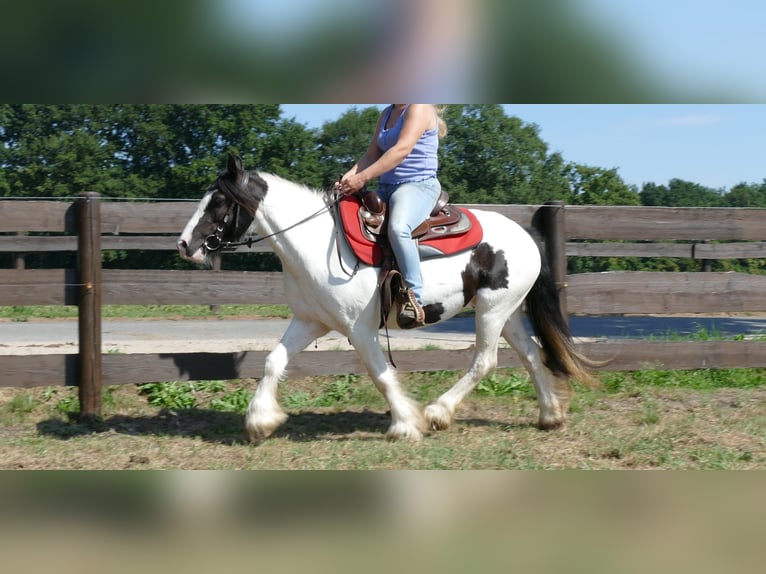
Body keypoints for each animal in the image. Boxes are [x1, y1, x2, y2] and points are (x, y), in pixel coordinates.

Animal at [177, 154, 604, 446]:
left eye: (218, 202)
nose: (184, 245)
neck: (316, 244)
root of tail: (525, 235)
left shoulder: (359, 329)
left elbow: (380, 375)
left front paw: (406, 424)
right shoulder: (310, 321)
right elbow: (272, 361)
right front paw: (259, 420)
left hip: (493, 310)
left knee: (485, 361)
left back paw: (438, 413)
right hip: (507, 311)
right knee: (531, 355)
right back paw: (550, 415)